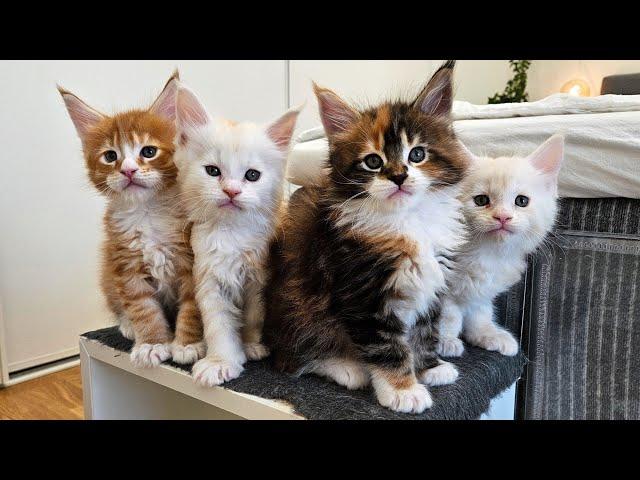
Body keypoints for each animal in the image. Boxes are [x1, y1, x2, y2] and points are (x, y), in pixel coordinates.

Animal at [59, 72, 204, 368]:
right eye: (110, 156)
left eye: (148, 152)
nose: (128, 170)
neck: (147, 213)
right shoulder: (126, 266)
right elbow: (142, 308)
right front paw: (152, 344)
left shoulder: (190, 262)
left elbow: (191, 305)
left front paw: (187, 344)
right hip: (108, 273)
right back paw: (128, 326)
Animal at [171, 84, 298, 388]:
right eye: (213, 171)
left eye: (252, 175)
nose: (231, 191)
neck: (232, 233)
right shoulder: (209, 278)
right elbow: (218, 326)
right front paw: (221, 362)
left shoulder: (259, 279)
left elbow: (253, 317)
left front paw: (251, 345)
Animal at [264, 61, 470, 412]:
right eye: (373, 161)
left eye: (417, 155)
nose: (399, 176)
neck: (408, 220)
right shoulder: (362, 292)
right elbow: (387, 346)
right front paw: (403, 389)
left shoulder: (432, 283)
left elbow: (425, 327)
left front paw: (429, 366)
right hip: (298, 307)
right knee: (294, 358)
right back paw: (346, 367)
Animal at [438, 134, 564, 356]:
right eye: (481, 200)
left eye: (521, 201)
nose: (503, 217)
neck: (488, 254)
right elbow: (448, 314)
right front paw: (445, 340)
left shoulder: (482, 291)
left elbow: (480, 312)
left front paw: (486, 334)